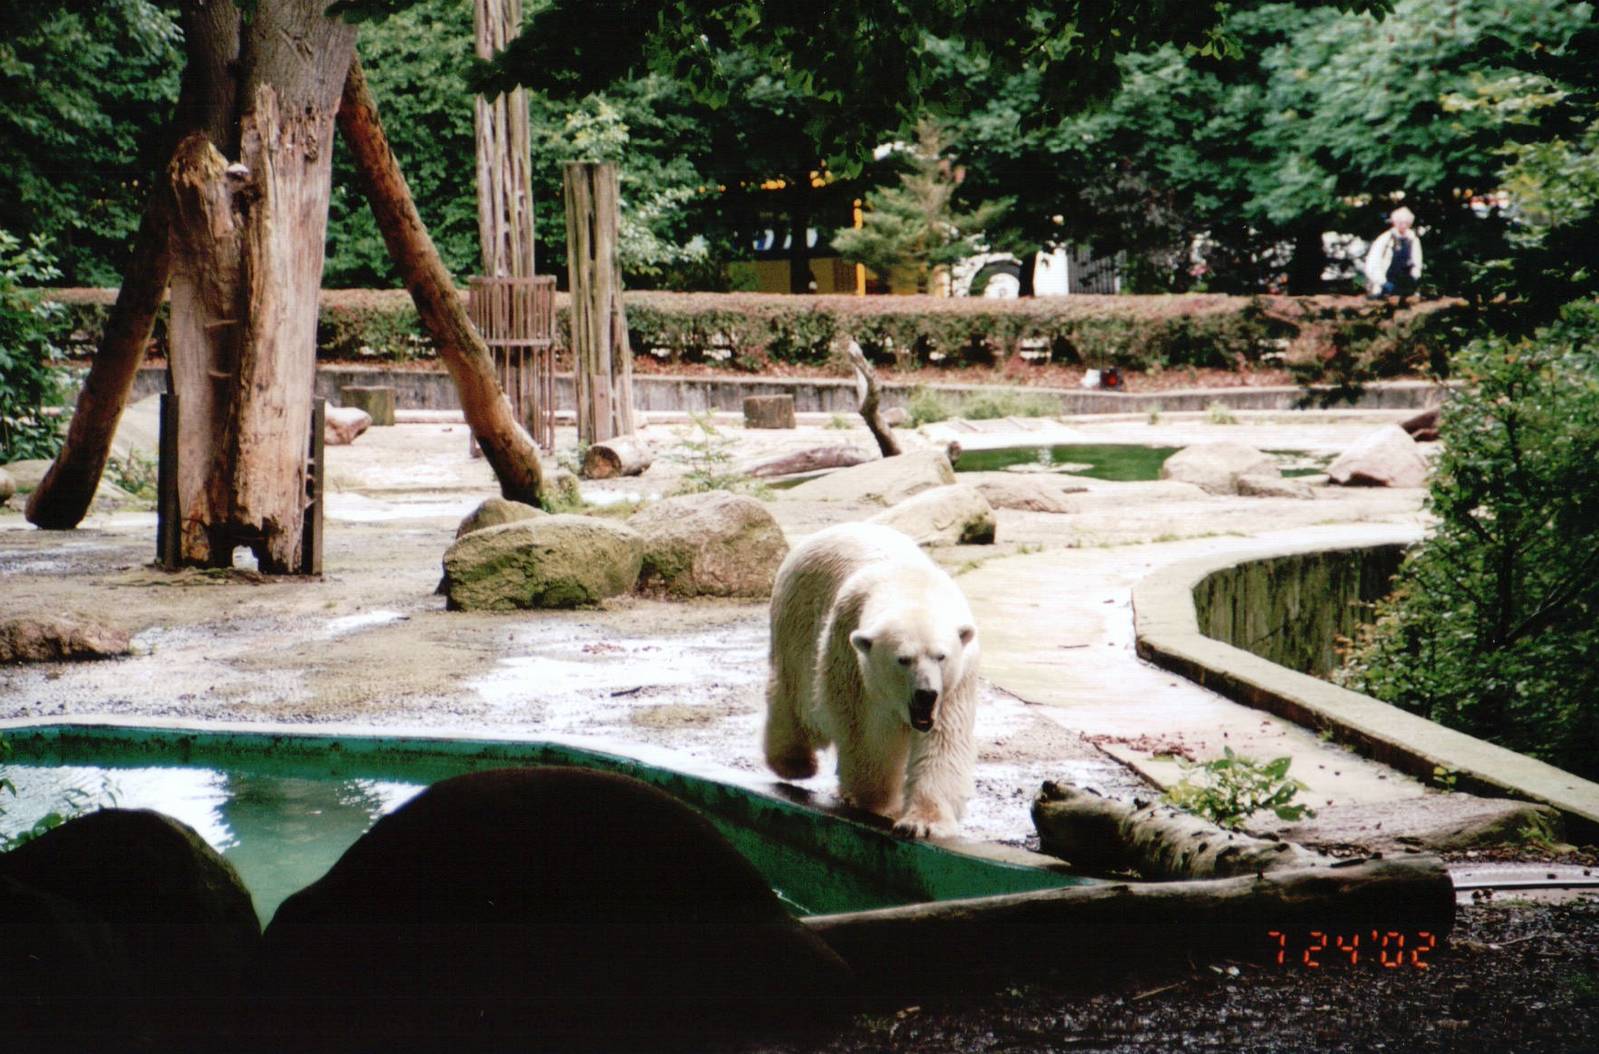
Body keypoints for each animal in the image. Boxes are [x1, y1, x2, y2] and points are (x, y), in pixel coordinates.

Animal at [763, 521, 979, 838]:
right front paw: (880, 804)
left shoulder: (956, 682)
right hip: (797, 624)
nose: (926, 693)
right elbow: (868, 739)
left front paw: (923, 823)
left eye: (941, 656)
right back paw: (794, 763)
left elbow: (943, 743)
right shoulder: (852, 661)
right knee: (796, 701)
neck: (912, 587)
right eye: (903, 659)